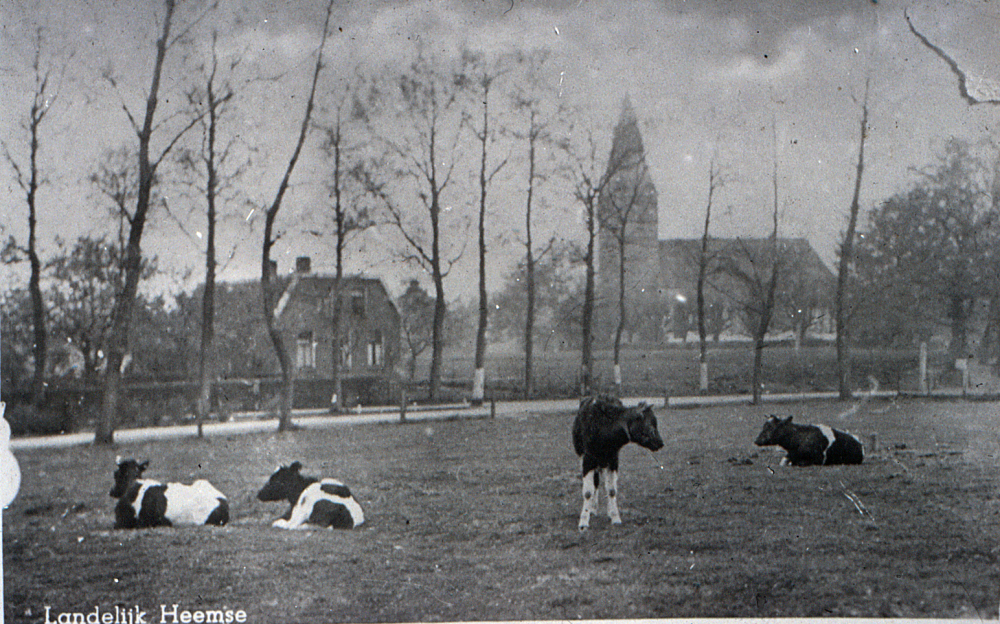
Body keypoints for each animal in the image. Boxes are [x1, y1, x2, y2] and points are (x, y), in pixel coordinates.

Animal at [572, 392, 664, 528]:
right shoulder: (588, 459)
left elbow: (612, 490)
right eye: (649, 425)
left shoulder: (613, 460)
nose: (660, 443)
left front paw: (615, 517)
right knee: (595, 482)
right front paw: (583, 522)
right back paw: (592, 509)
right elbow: (588, 492)